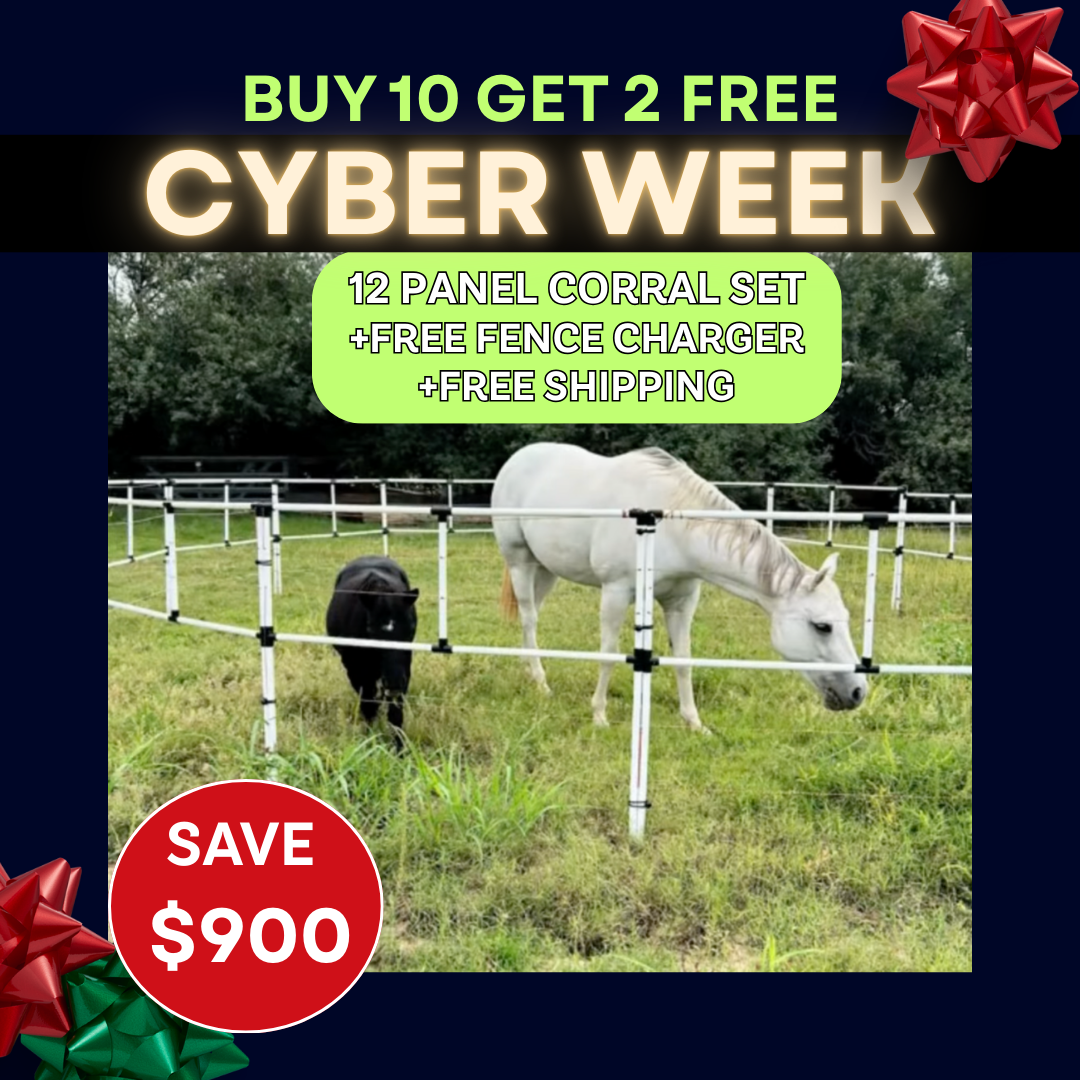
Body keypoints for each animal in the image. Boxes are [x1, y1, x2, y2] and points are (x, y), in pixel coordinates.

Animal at [326, 556, 419, 748]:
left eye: (410, 630)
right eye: (372, 632)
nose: (394, 681)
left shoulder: (404, 673)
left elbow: (395, 712)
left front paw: (399, 748)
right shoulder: (355, 670)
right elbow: (368, 704)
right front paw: (370, 742)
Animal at [491, 443, 867, 732]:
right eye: (822, 626)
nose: (858, 692)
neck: (671, 525)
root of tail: (517, 459)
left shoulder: (681, 601)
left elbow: (684, 661)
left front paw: (694, 723)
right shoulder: (616, 592)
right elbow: (609, 653)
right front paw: (599, 716)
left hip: (545, 569)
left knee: (531, 616)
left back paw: (530, 672)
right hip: (520, 561)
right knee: (529, 618)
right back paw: (541, 683)